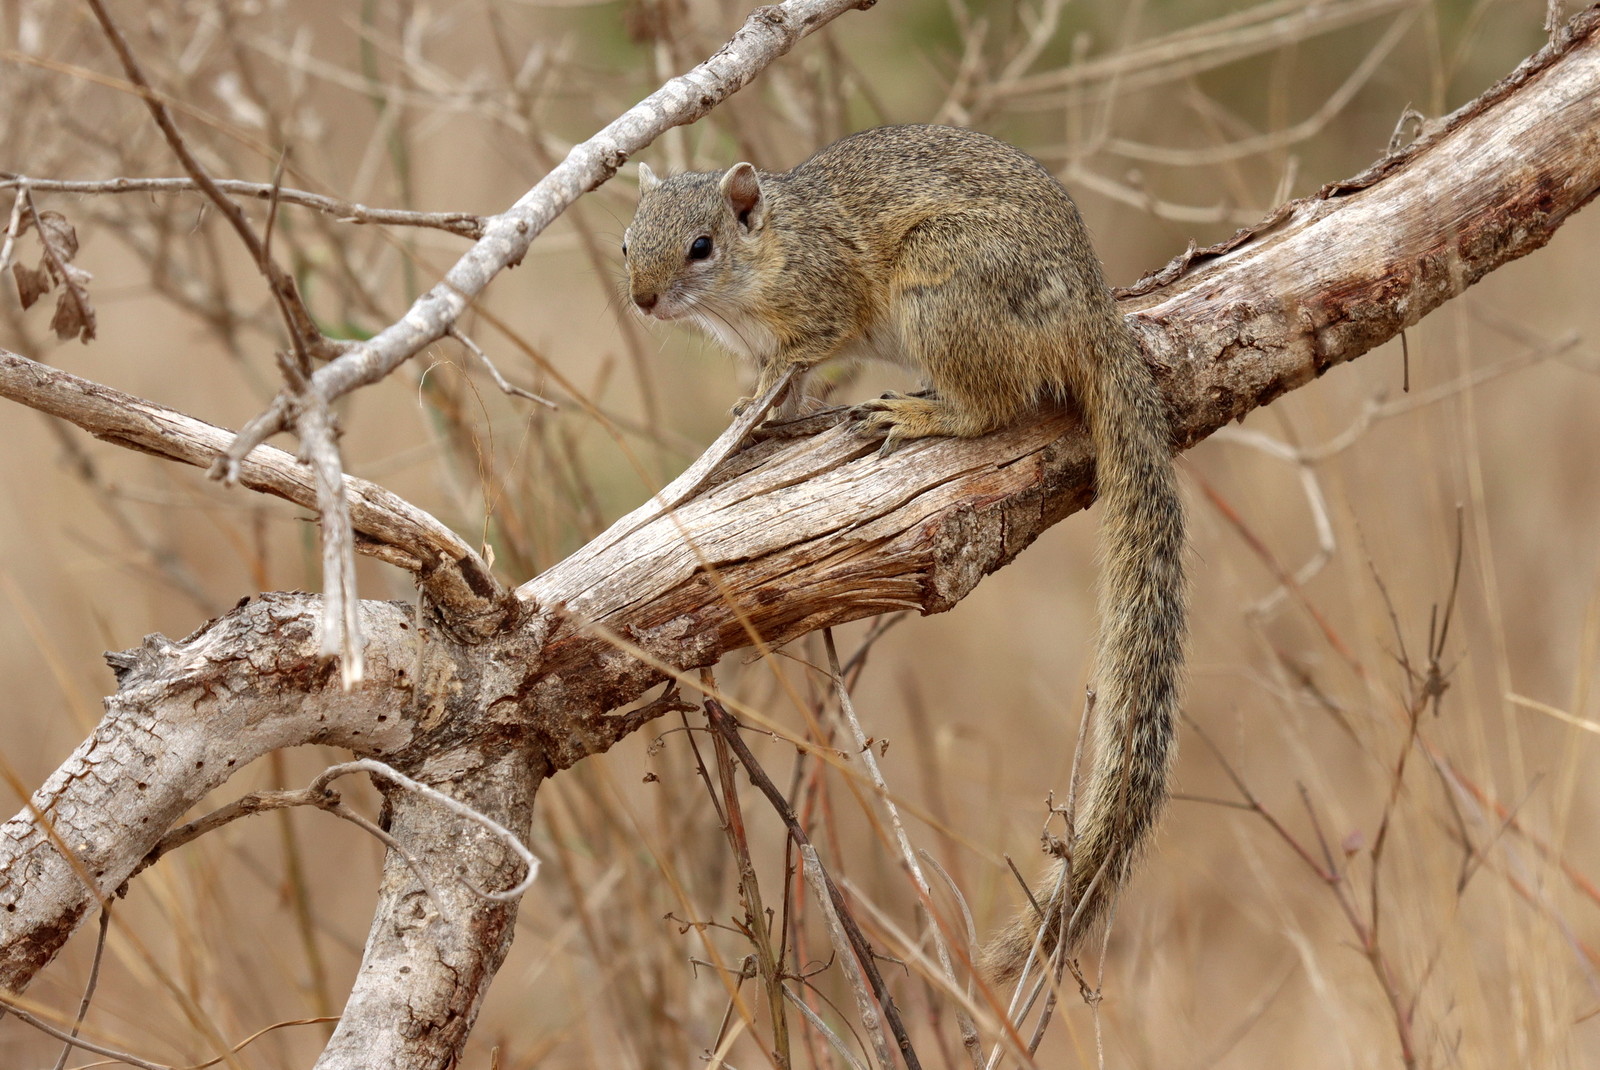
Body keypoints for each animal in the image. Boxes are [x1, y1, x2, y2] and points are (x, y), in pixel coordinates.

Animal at [624, 123, 1190, 978]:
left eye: (700, 246)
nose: (642, 300)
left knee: (994, 405)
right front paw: (750, 405)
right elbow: (777, 384)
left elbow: (802, 352)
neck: (772, 251)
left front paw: (764, 392)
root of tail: (1092, 313)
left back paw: (925, 415)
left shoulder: (826, 302)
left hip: (944, 292)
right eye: (628, 240)